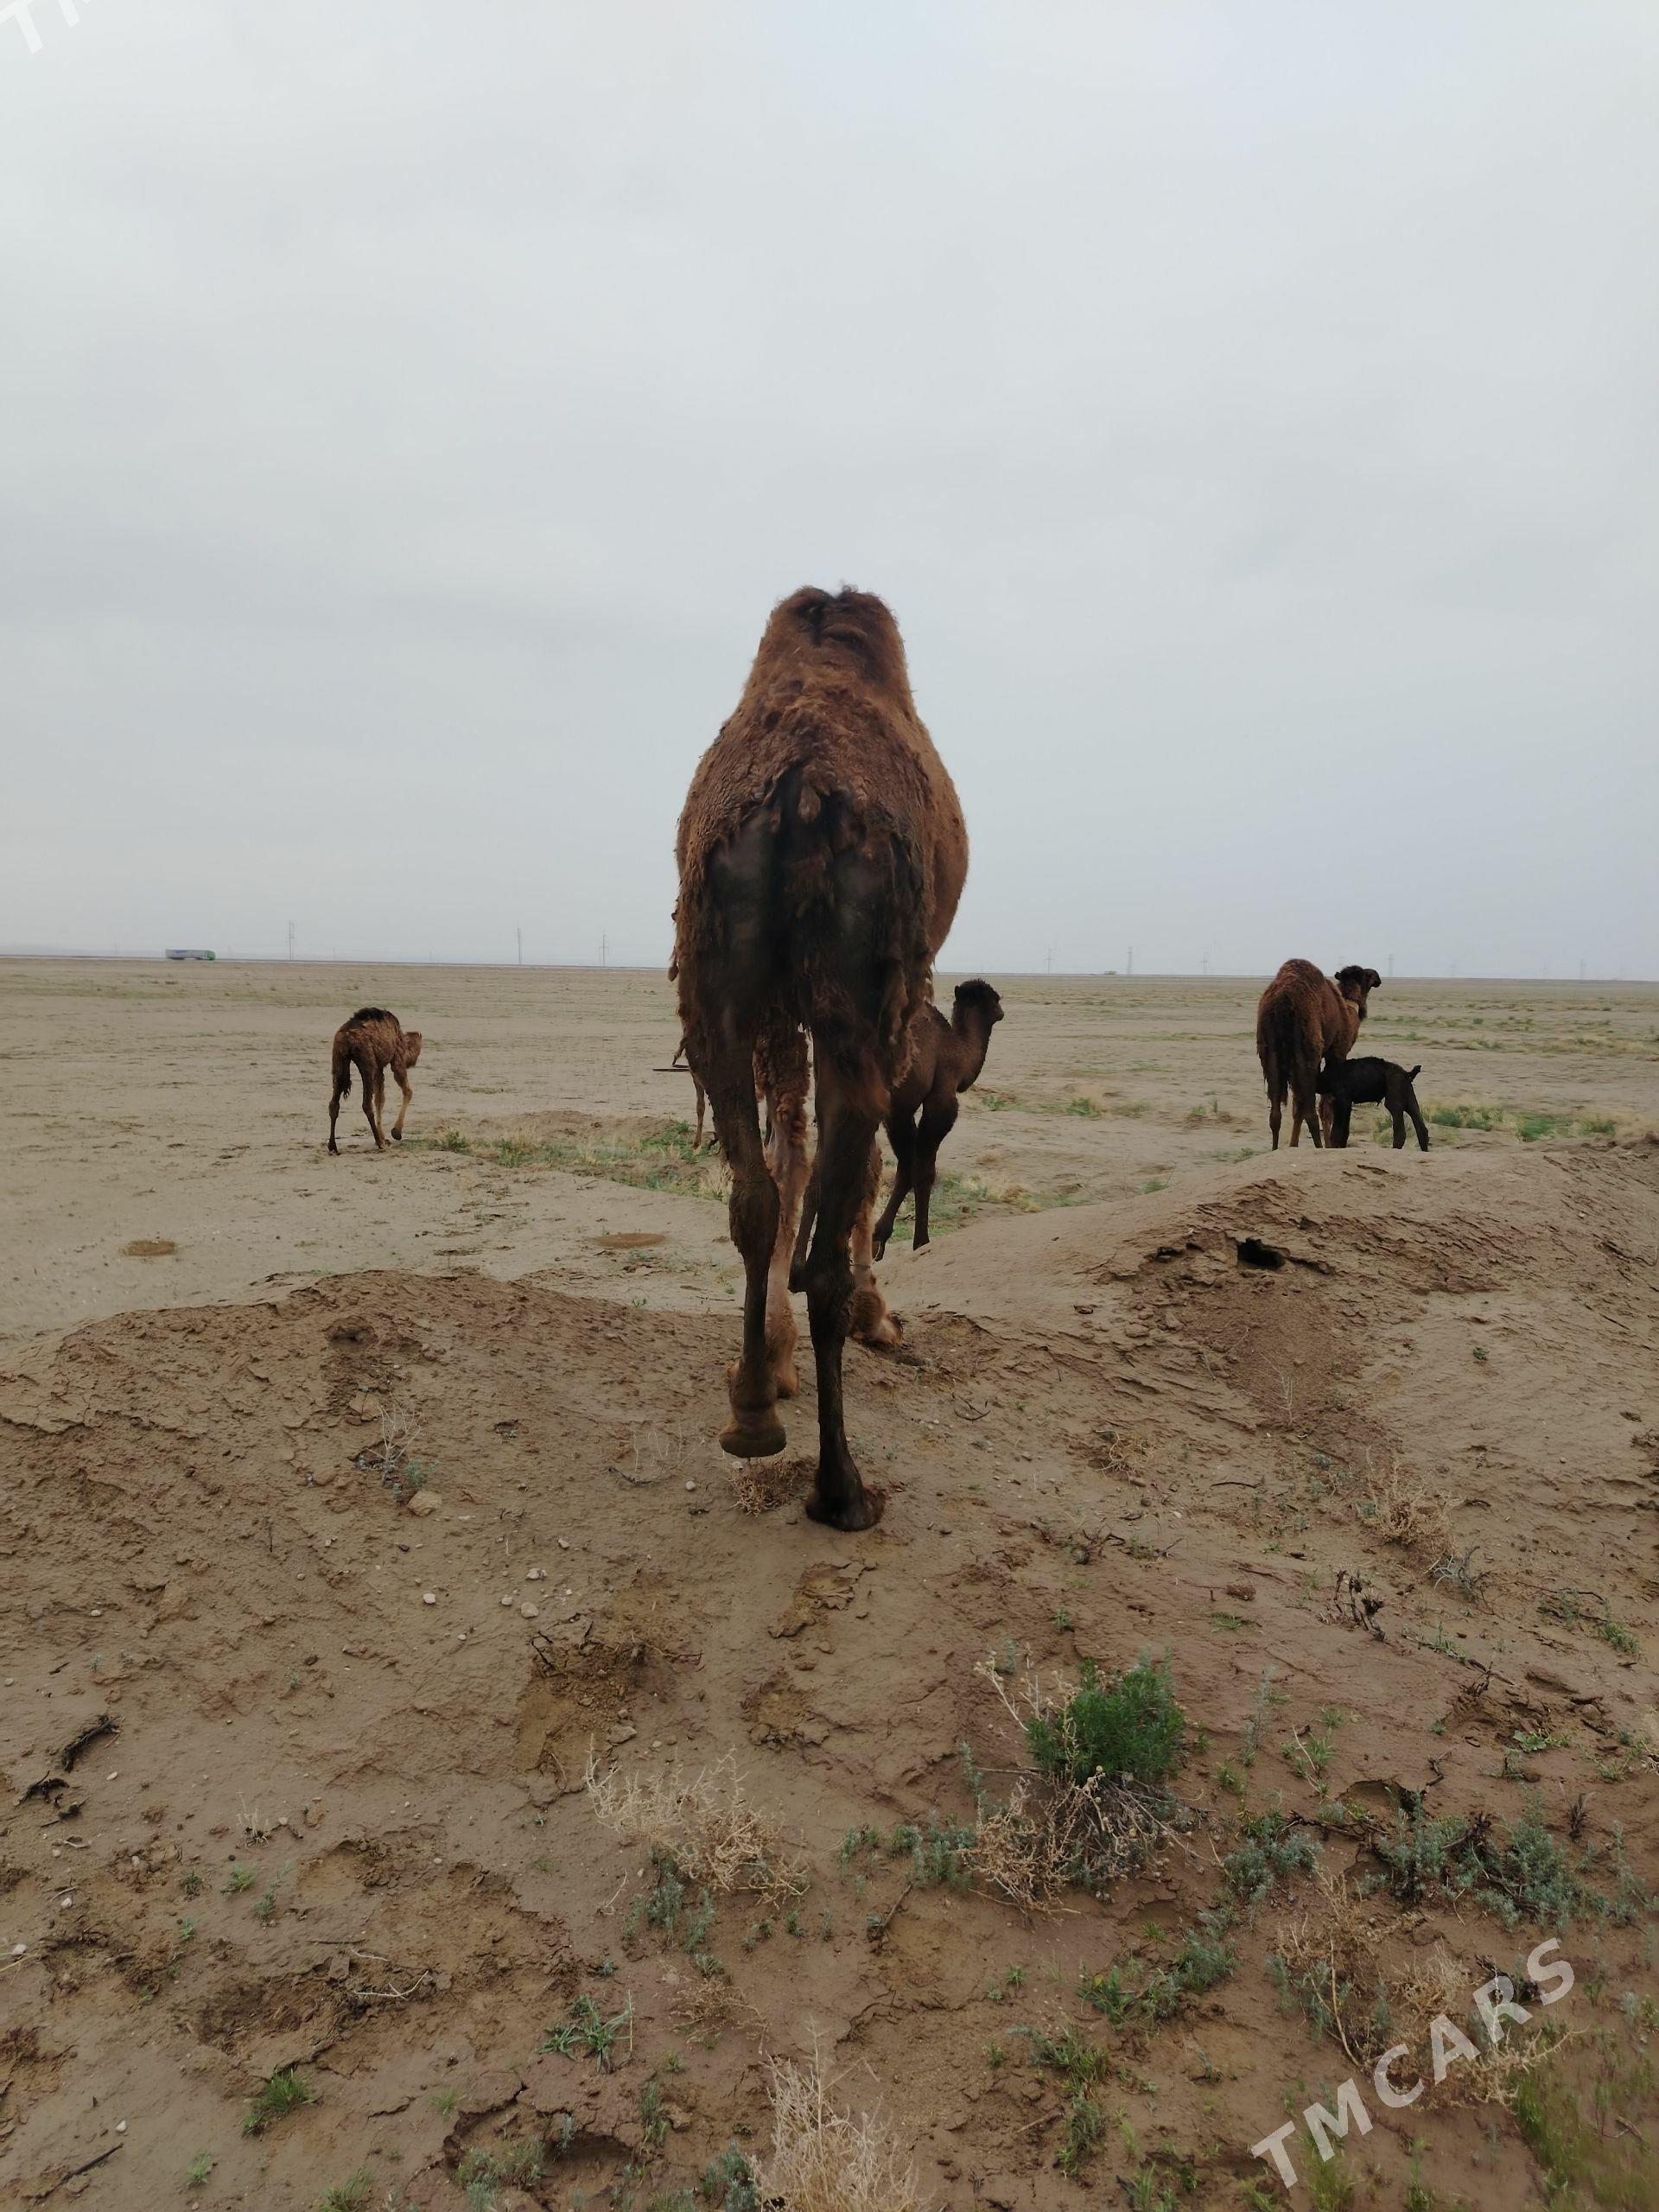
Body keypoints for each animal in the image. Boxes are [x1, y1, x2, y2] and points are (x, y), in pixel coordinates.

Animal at [327, 1008, 422, 1154]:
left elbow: (380, 1100)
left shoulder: (379, 1068)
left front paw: (384, 1136)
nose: (415, 1060)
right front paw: (396, 1132)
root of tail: (347, 1037)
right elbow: (407, 1091)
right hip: (366, 1061)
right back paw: (379, 1143)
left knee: (334, 1103)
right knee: (366, 1104)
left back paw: (332, 1146)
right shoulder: (397, 1058)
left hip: (338, 1058)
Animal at [674, 585, 967, 1532]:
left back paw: (751, 1413)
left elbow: (785, 1156)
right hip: (857, 993)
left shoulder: (773, 1007)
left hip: (717, 983)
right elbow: (863, 1169)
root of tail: (801, 791)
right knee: (832, 1228)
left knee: (753, 1193)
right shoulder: (891, 1003)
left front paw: (769, 1362)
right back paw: (841, 1485)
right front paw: (881, 1316)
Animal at [871, 979, 1004, 1257]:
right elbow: (923, 1171)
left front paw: (879, 1238)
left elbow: (906, 1168)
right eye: (994, 998)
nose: (1001, 1011)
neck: (957, 1049)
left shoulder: (900, 1111)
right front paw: (921, 1242)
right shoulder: (940, 1096)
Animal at [1255, 961, 1380, 1149]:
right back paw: (1319, 1147)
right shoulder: (1336, 1053)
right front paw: (1330, 1145)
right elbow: (1326, 1106)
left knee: (1276, 1114)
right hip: (1308, 1048)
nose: (1377, 976)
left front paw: (1293, 1145)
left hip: (1269, 1050)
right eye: (1367, 975)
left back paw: (1275, 1149)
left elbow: (1297, 1107)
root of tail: (1283, 1000)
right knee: (1311, 1112)